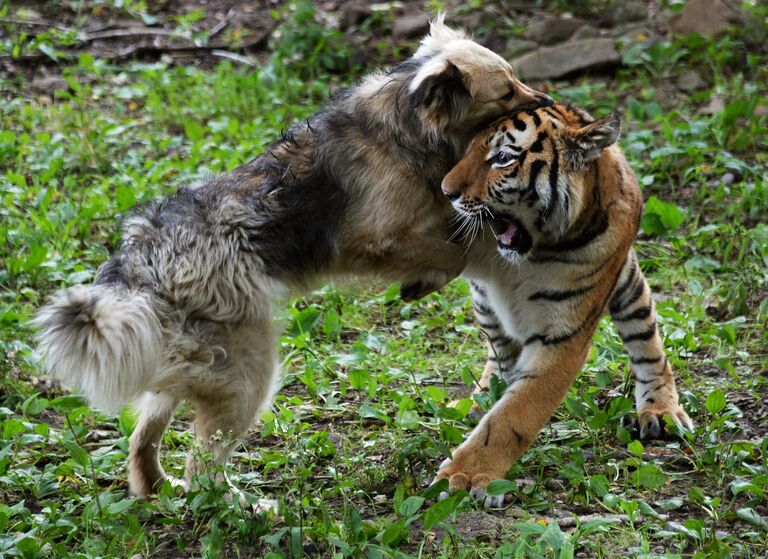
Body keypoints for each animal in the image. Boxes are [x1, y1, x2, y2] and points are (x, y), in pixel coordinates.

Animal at [34, 18, 552, 498]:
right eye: (507, 90)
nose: (546, 98)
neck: (407, 124)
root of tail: (140, 272)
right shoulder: (374, 239)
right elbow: (452, 253)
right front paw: (422, 279)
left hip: (186, 366)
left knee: (143, 442)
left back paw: (159, 488)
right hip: (247, 373)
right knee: (203, 469)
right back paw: (242, 507)